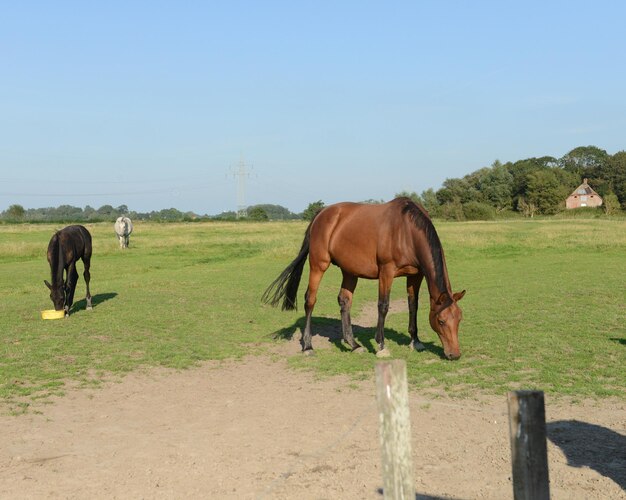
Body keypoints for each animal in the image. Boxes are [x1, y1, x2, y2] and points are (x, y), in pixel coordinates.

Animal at [262, 198, 464, 360]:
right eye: (441, 321)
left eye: (459, 319)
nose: (454, 354)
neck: (406, 231)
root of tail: (321, 214)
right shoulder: (386, 272)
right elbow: (383, 306)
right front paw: (381, 345)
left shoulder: (416, 275)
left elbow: (413, 305)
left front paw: (415, 341)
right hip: (319, 265)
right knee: (310, 300)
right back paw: (308, 346)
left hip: (349, 271)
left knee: (344, 301)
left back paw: (353, 344)